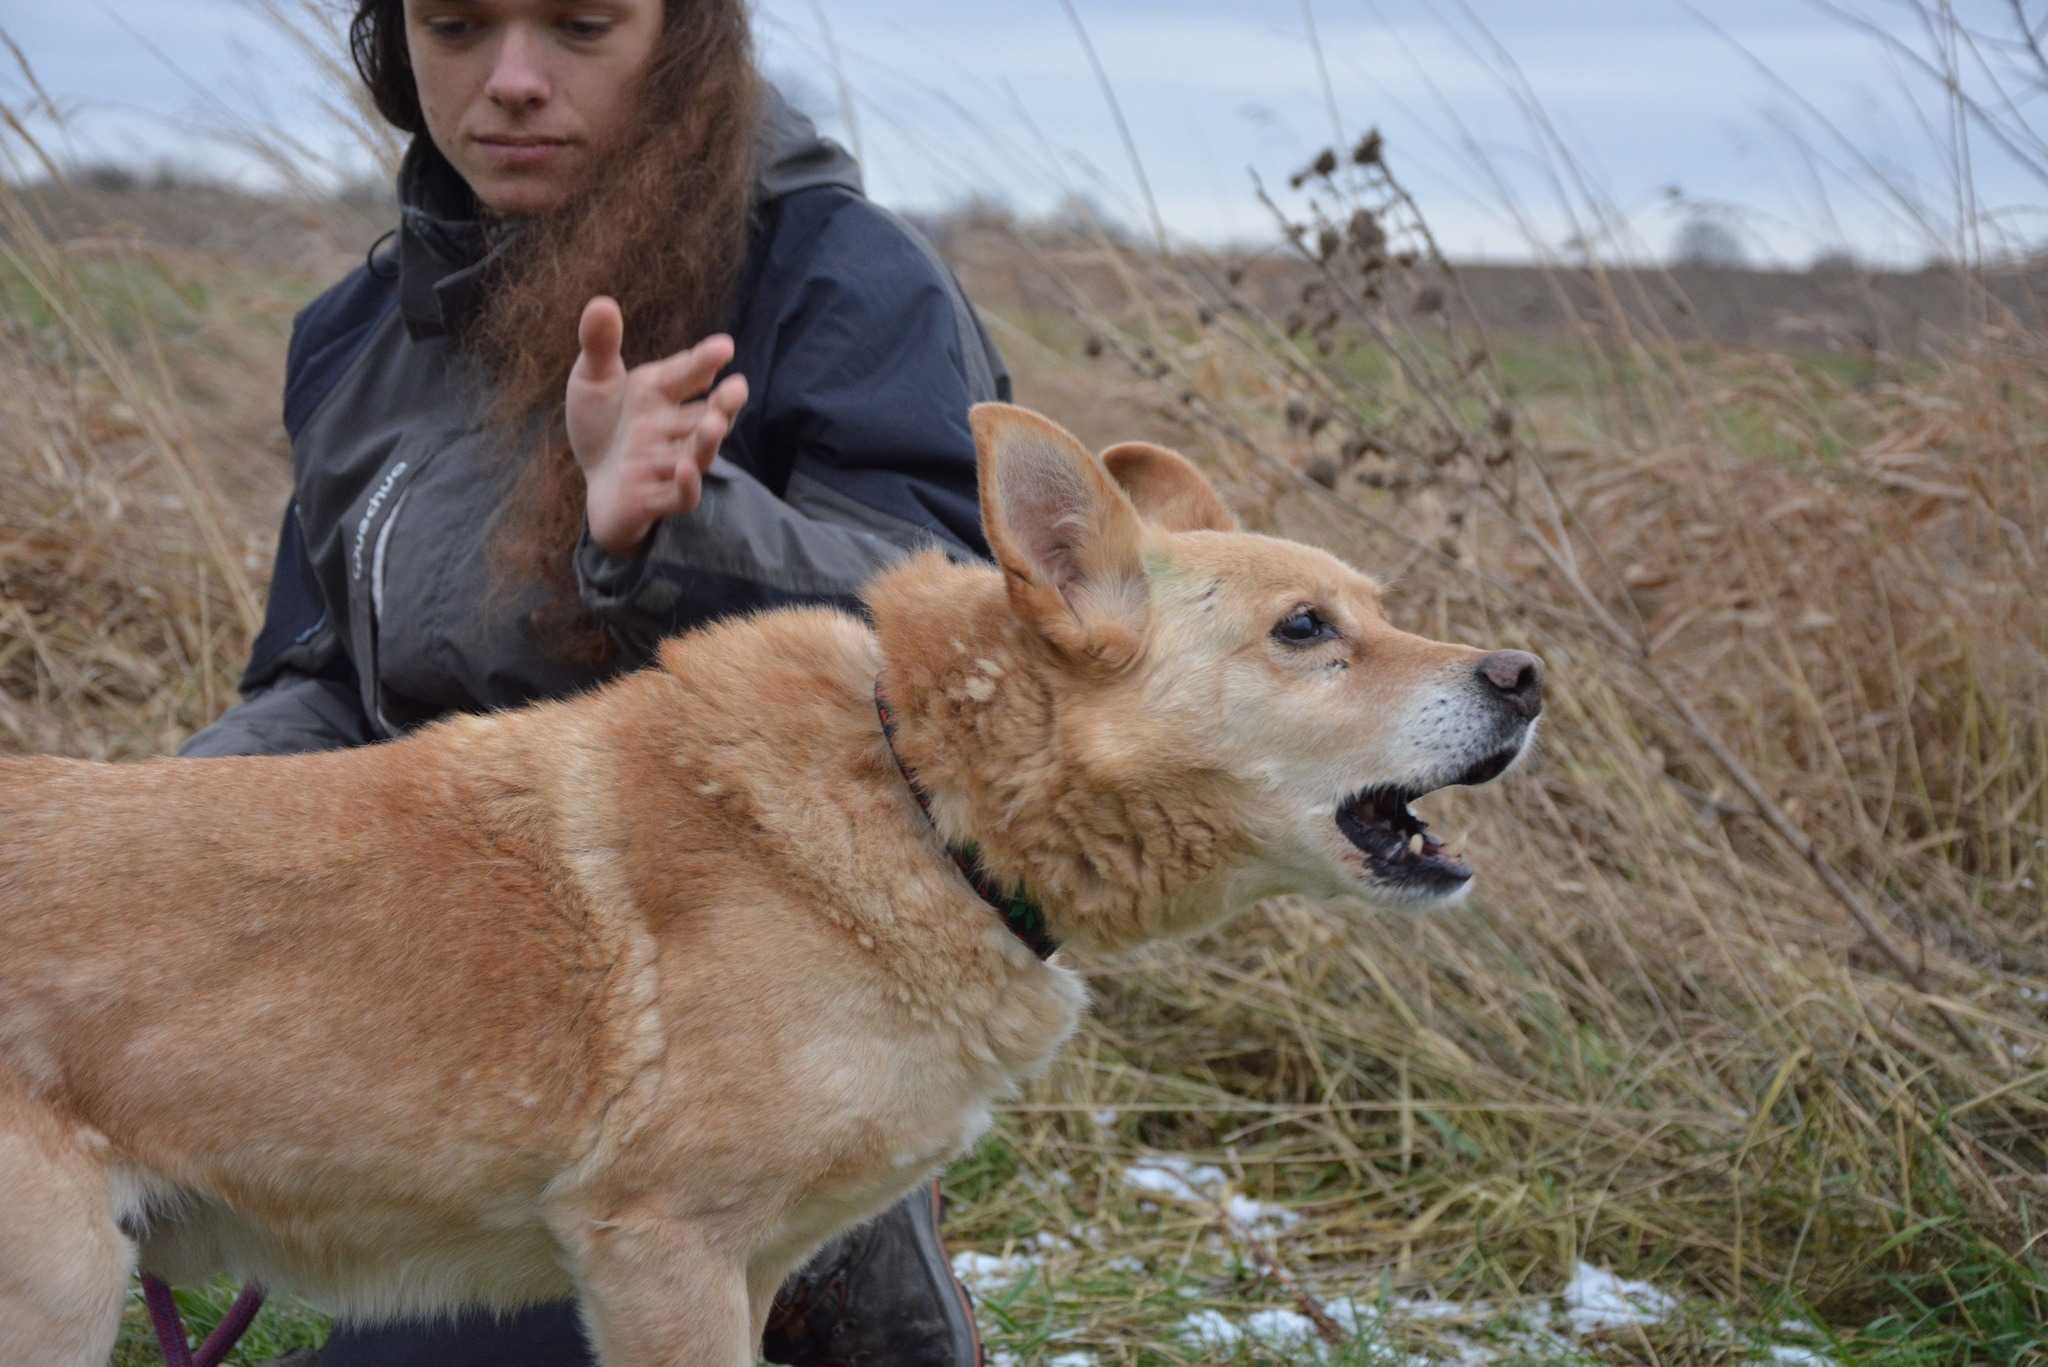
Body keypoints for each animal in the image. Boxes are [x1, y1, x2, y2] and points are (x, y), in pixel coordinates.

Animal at [0, 401, 1540, 1360]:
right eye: (1305, 629)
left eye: (1377, 606)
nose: (1528, 674)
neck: (919, 798)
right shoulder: (657, 1254)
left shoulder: (744, 1269)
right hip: (61, 1297)